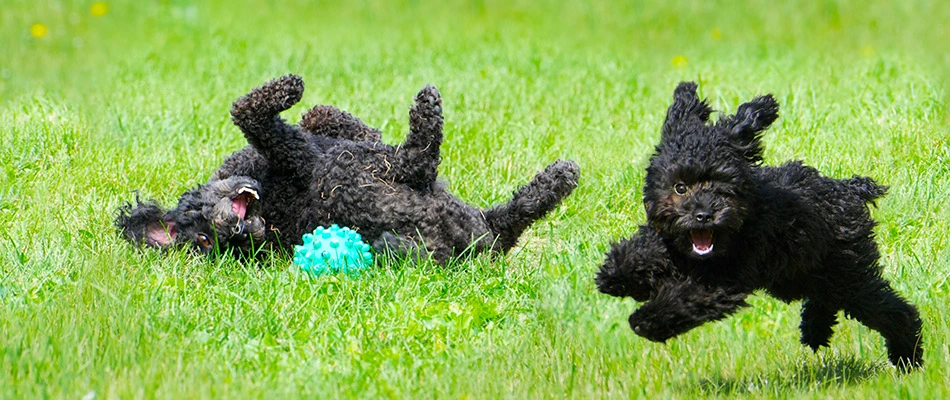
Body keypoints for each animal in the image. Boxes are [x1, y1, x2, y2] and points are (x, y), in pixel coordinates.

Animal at [600, 83, 924, 370]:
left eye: (723, 186)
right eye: (680, 187)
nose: (704, 215)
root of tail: (851, 189)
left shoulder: (721, 279)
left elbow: (683, 298)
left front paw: (645, 320)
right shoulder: (670, 241)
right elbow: (645, 248)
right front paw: (616, 274)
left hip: (848, 275)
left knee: (894, 311)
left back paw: (908, 359)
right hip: (803, 274)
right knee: (826, 299)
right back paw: (815, 331)